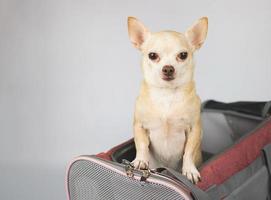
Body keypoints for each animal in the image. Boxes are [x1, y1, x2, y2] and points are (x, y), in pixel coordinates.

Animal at [127, 16, 208, 184]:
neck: (166, 94)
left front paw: (189, 170)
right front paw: (140, 160)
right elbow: (141, 145)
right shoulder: (139, 126)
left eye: (183, 55)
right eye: (152, 55)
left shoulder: (195, 129)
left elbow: (189, 152)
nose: (168, 68)